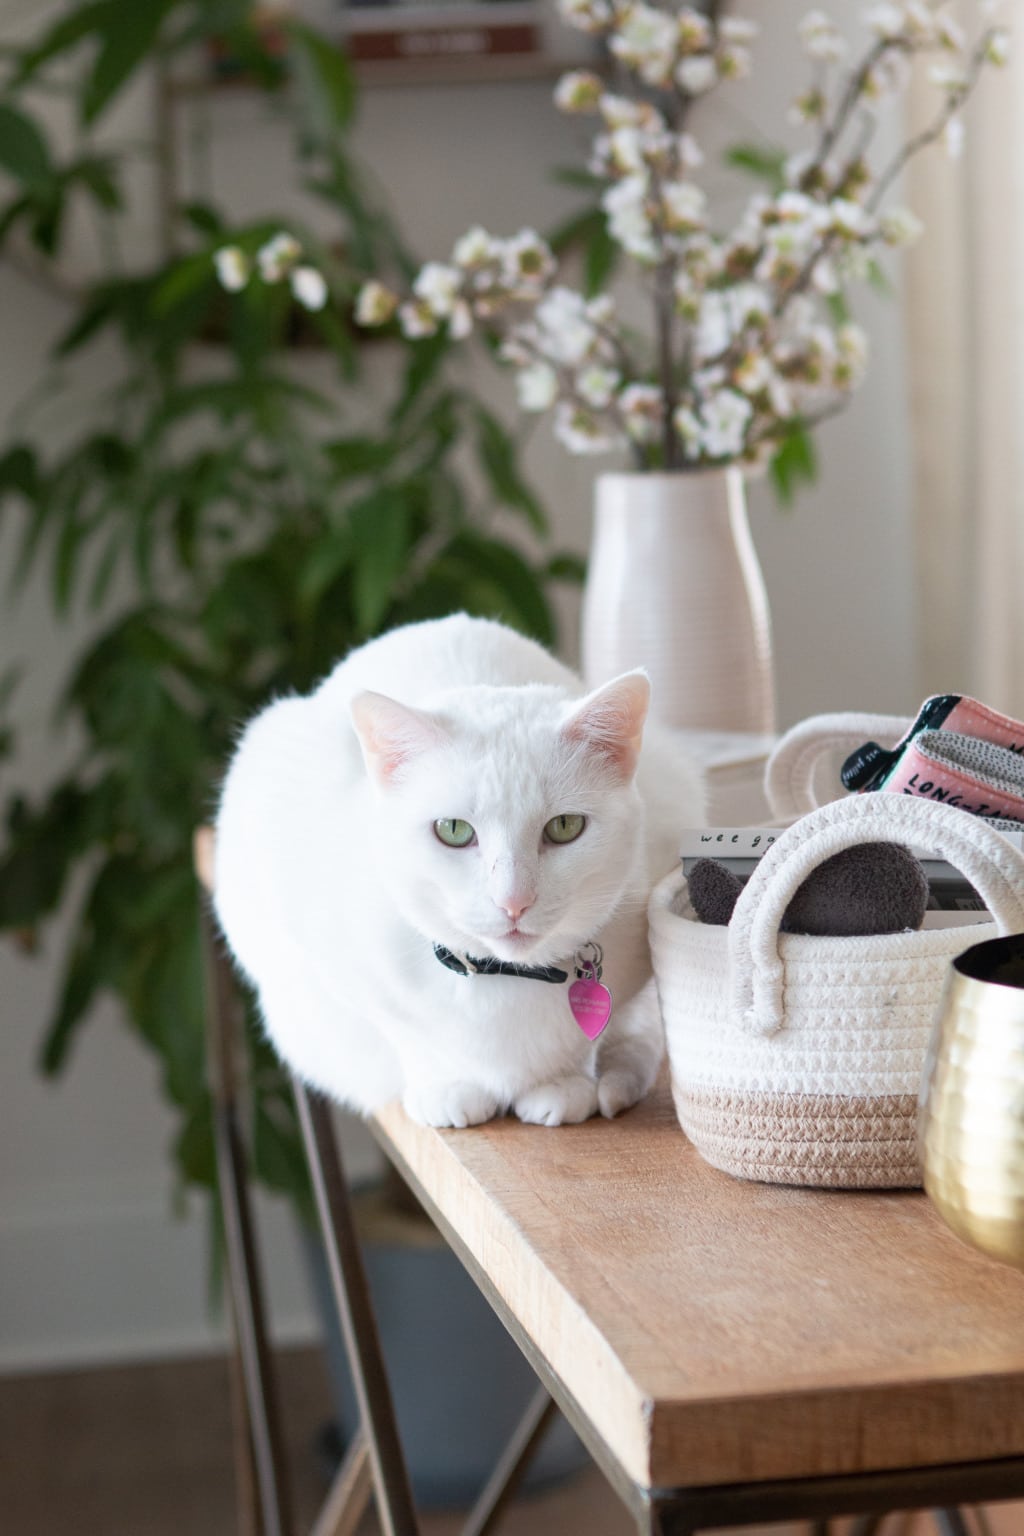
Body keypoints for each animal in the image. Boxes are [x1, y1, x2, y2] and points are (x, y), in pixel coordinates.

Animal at [211, 611, 700, 1130]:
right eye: (453, 830)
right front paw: (448, 1089)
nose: (513, 901)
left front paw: (564, 1083)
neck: (507, 981)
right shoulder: (351, 971)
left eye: (565, 826)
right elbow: (412, 1037)